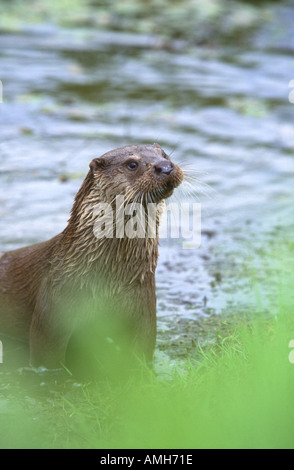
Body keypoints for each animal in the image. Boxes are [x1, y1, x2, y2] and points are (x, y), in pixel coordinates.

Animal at [0, 144, 184, 374]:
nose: (166, 167)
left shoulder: (145, 308)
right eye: (132, 164)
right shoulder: (53, 309)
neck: (108, 281)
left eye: (165, 155)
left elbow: (143, 350)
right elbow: (48, 357)